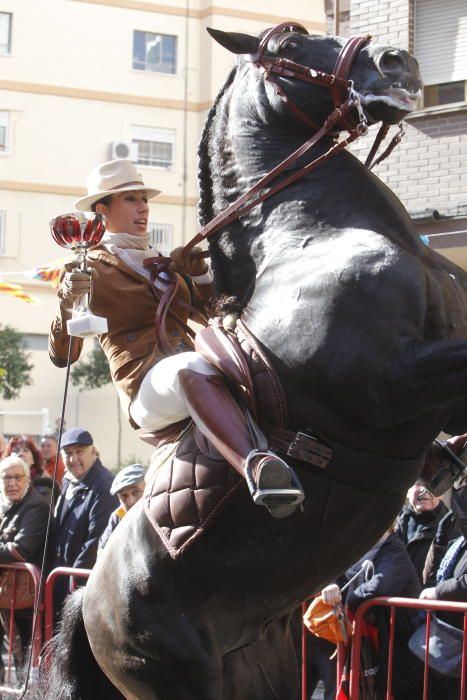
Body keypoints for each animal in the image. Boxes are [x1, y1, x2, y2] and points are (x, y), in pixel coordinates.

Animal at [41, 21, 467, 700]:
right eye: (290, 45)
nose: (397, 61)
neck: (313, 234)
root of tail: (87, 601)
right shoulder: (395, 383)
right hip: (177, 675)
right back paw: (270, 474)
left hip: (269, 668)